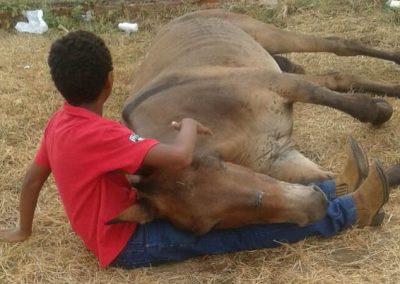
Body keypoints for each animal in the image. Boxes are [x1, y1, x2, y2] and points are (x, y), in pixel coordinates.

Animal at [118, 10, 396, 234]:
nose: (312, 207)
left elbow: (337, 100)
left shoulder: (277, 83)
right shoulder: (279, 157)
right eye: (212, 226)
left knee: (340, 46)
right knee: (336, 77)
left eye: (217, 165)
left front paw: (379, 112)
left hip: (269, 36)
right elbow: (332, 179)